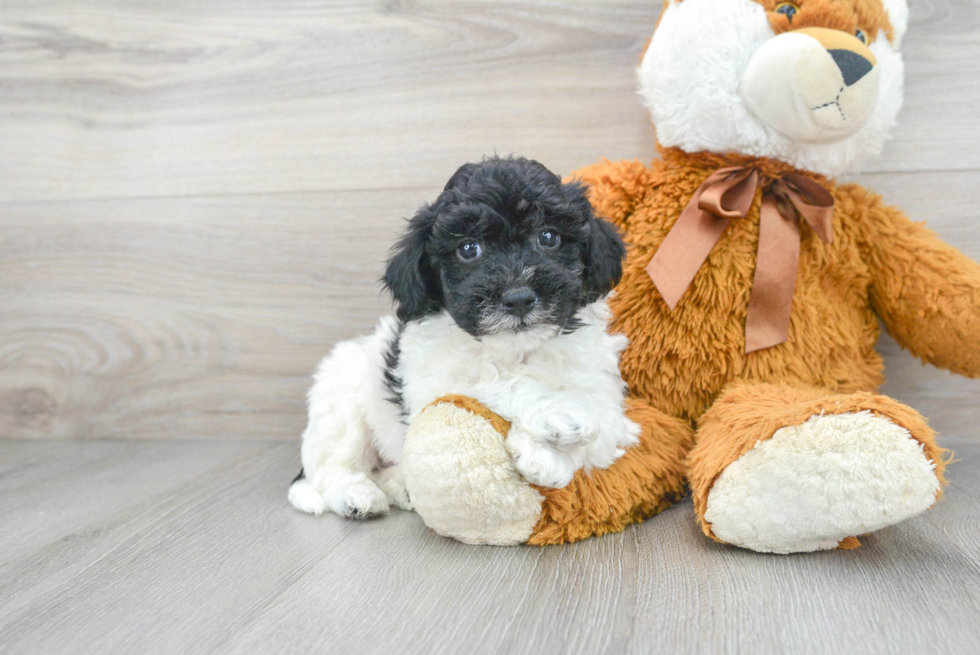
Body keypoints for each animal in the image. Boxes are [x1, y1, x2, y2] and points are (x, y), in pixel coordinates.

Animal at [290, 156, 644, 520]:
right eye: (468, 248)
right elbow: (488, 384)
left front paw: (545, 455)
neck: (514, 351)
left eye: (548, 237)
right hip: (340, 401)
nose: (518, 297)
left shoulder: (609, 404)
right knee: (333, 467)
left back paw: (399, 488)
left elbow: (600, 426)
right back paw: (356, 497)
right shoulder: (432, 383)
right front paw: (554, 416)